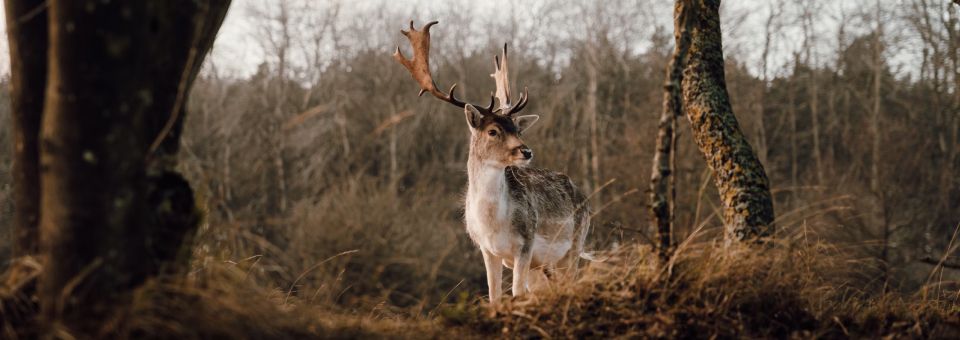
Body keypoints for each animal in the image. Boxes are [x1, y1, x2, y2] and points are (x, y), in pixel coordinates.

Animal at [392, 20, 588, 302]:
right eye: (493, 131)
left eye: (517, 129)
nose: (526, 152)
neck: (494, 225)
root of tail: (585, 197)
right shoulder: (487, 250)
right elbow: (494, 296)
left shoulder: (526, 243)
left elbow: (517, 292)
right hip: (545, 265)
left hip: (574, 246)